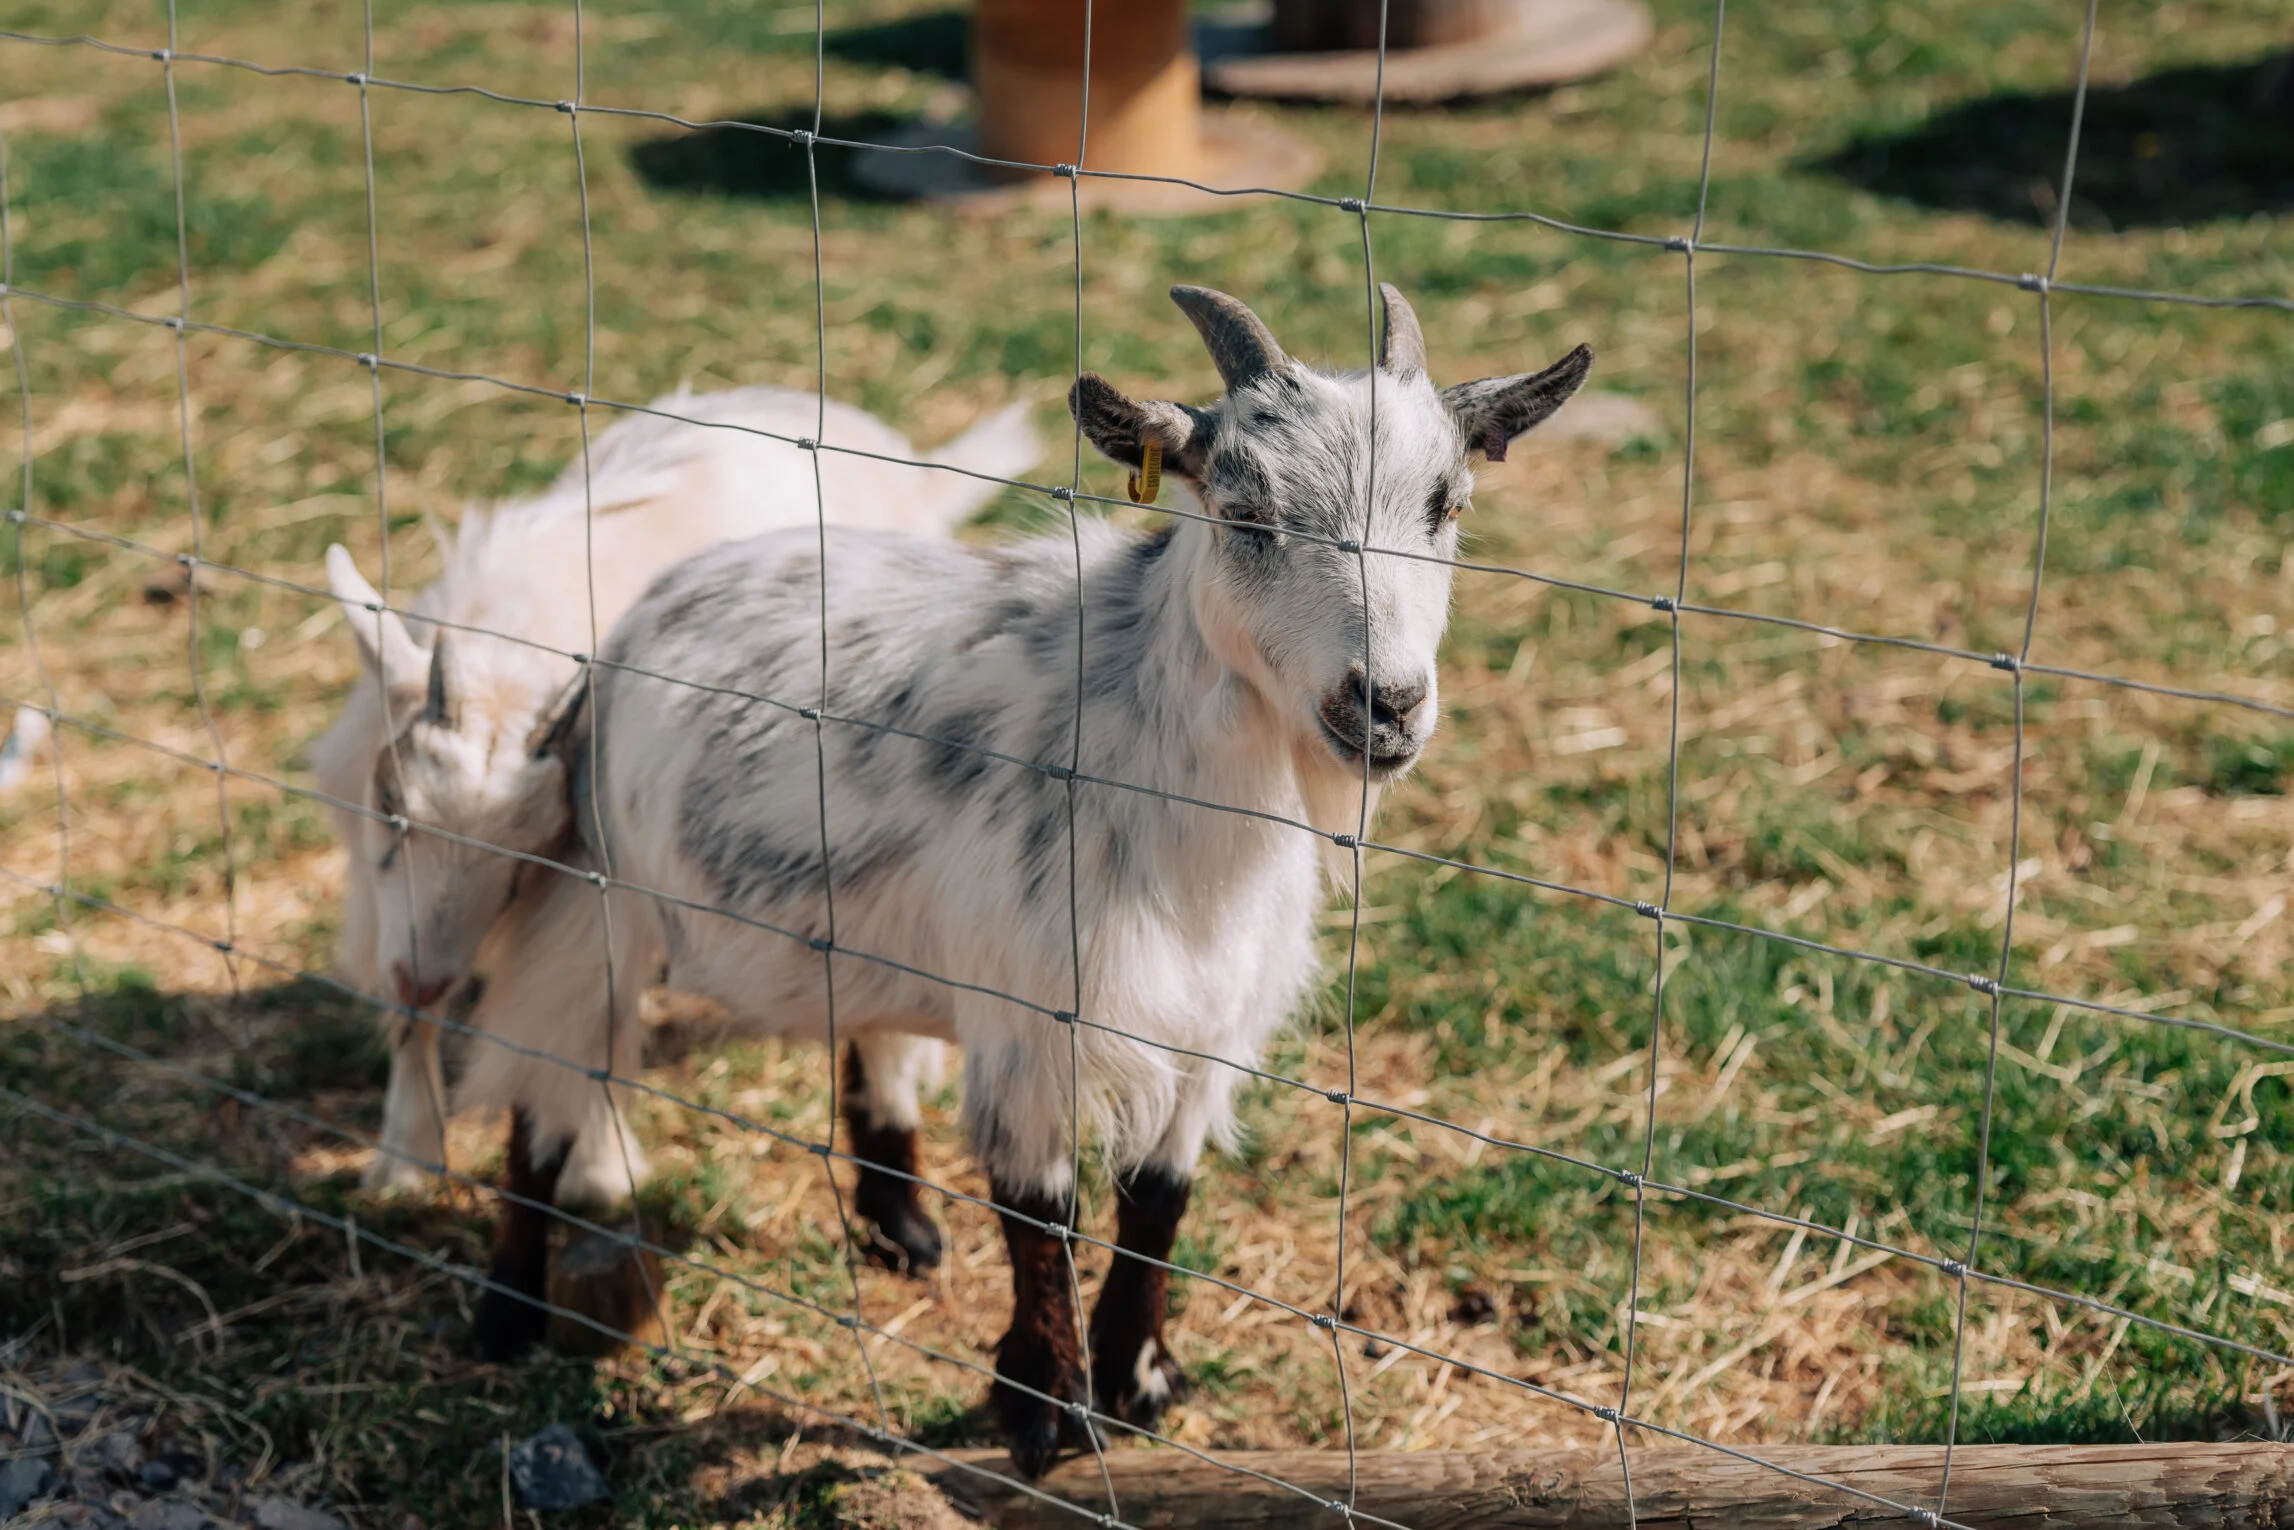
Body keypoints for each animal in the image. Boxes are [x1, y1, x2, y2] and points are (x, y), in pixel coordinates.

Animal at [308, 384, 1037, 1270]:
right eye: (394, 807)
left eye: (524, 857)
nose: (426, 975)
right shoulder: (378, 880)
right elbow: (409, 1012)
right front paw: (405, 1162)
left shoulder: (600, 874)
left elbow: (596, 1014)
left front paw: (600, 1171)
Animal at [459, 286, 1591, 1474]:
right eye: (1244, 512)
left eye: (1446, 506)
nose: (1386, 705)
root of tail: (653, 604)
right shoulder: (1031, 1018)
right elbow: (1039, 1213)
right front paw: (1050, 1412)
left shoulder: (1207, 1027)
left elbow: (1157, 1203)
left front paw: (1140, 1381)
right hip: (594, 903)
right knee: (538, 1097)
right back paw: (504, 1314)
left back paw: (900, 1222)